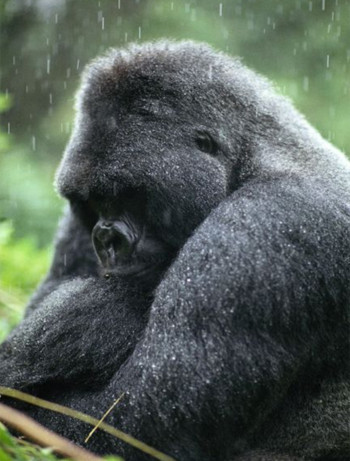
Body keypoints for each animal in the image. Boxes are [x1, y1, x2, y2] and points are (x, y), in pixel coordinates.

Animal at [0, 40, 350, 460]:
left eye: (129, 195)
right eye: (96, 202)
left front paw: (95, 320)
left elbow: (138, 424)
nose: (107, 240)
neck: (251, 157)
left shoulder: (268, 227)